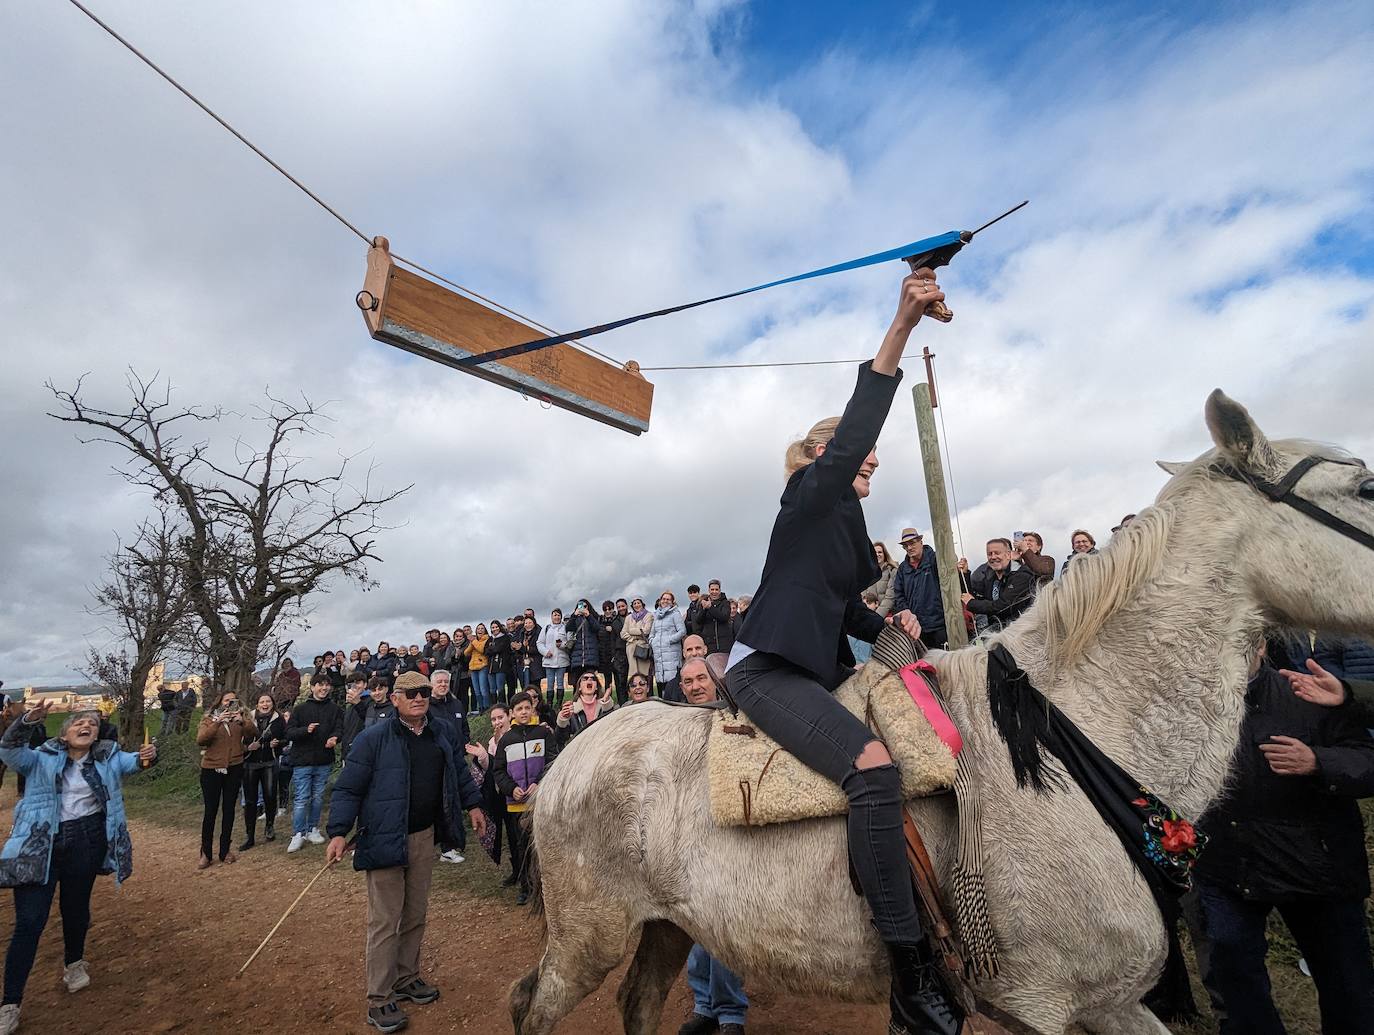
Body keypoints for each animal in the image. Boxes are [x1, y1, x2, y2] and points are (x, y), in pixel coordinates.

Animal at [511, 390, 1374, 1033]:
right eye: (1363, 487)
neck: (1068, 737)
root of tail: (570, 756)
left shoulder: (1110, 1002)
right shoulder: (1036, 1006)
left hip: (663, 924)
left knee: (637, 1000)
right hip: (589, 934)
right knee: (534, 1006)